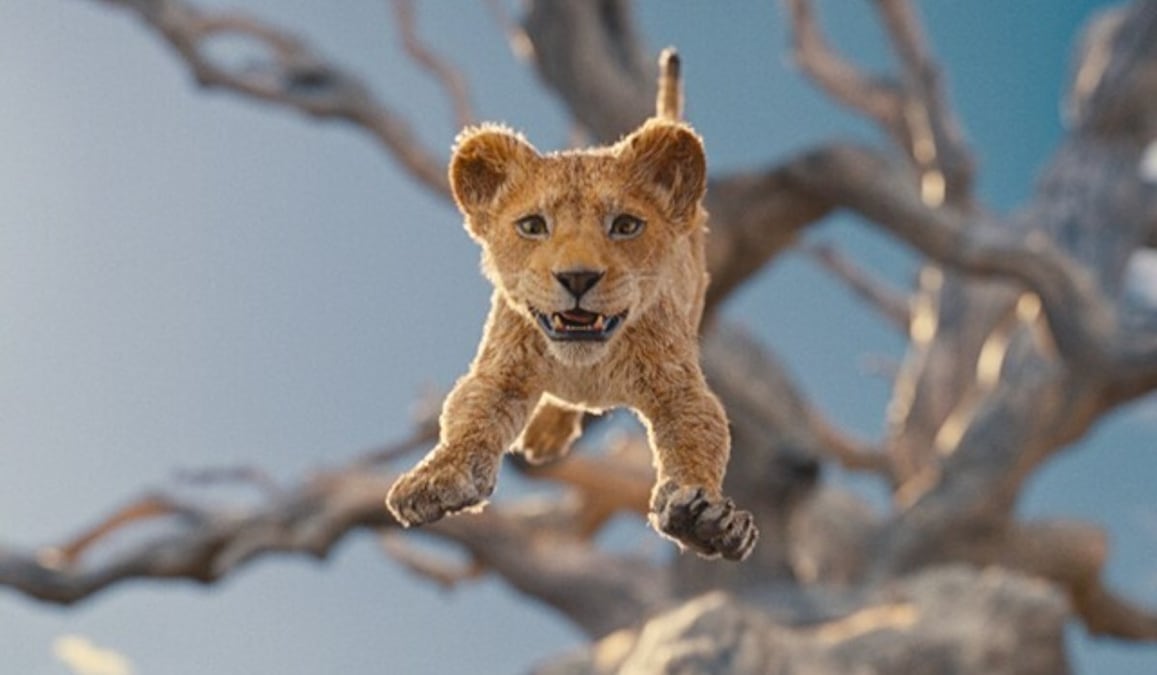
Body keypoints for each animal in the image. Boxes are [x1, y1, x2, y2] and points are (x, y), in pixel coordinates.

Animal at [385, 50, 757, 561]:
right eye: (532, 225)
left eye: (625, 225)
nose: (578, 277)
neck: (586, 364)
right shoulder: (501, 370)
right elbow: (468, 418)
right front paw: (435, 478)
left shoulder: (678, 387)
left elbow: (699, 439)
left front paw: (706, 520)